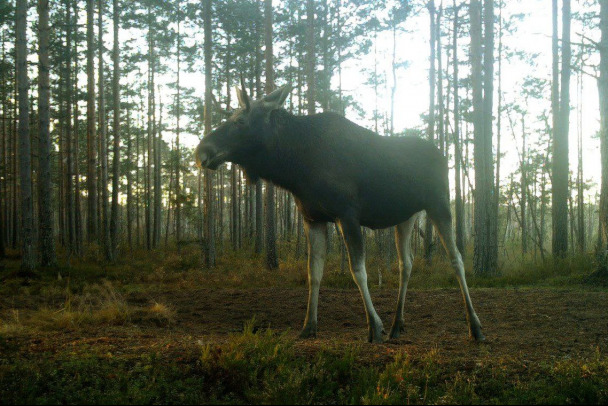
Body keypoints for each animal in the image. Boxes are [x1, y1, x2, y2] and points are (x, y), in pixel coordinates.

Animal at [196, 83, 484, 342]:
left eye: (240, 121)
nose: (201, 151)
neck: (294, 167)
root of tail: (443, 155)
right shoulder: (312, 218)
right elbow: (314, 273)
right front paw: (308, 326)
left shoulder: (347, 215)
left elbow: (358, 270)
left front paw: (374, 326)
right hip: (406, 216)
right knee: (407, 263)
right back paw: (397, 325)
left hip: (439, 204)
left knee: (456, 258)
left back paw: (475, 327)